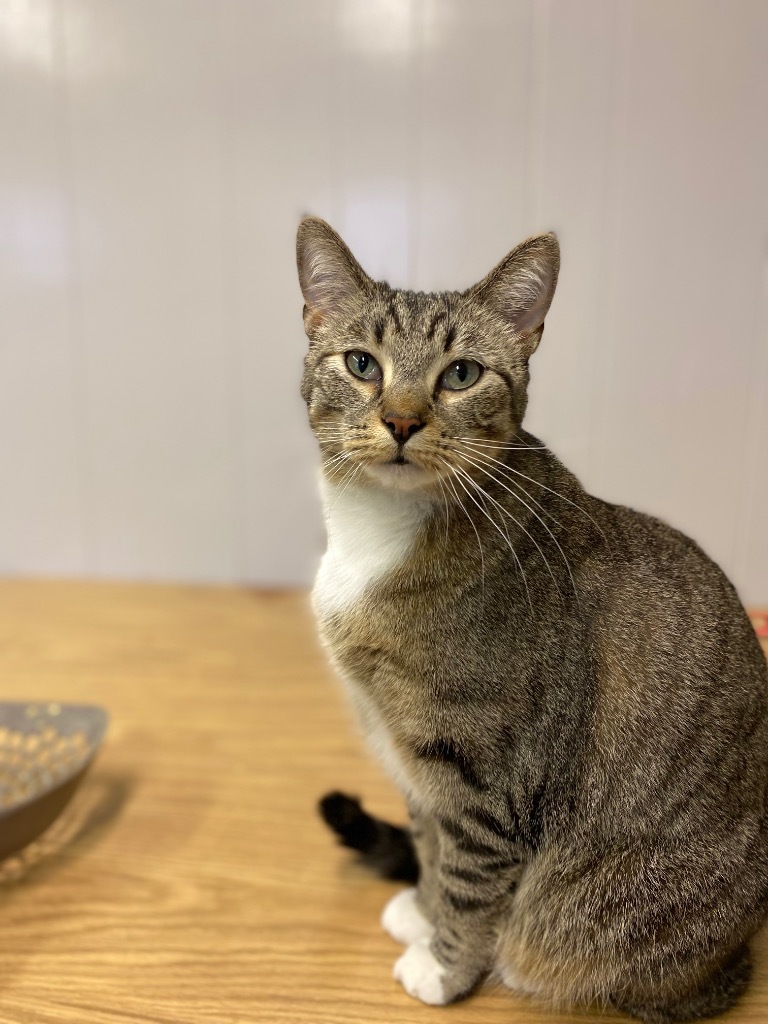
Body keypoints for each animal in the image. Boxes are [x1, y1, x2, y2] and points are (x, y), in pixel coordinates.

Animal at [296, 216, 768, 1024]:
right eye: (361, 364)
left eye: (460, 375)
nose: (400, 420)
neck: (381, 534)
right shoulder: (412, 753)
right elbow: (430, 839)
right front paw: (422, 909)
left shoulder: (484, 767)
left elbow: (469, 875)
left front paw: (444, 965)